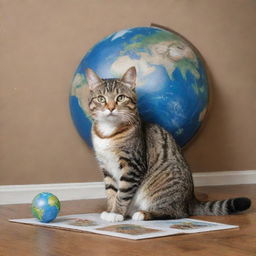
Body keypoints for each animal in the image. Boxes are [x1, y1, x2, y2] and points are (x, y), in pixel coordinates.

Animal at [86, 66, 250, 222]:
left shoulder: (133, 165)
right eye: (101, 99)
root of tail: (190, 199)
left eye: (120, 98)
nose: (110, 107)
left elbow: (123, 193)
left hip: (162, 190)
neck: (108, 133)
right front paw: (110, 210)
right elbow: (111, 192)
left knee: (178, 213)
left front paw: (116, 213)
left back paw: (143, 214)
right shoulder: (106, 167)